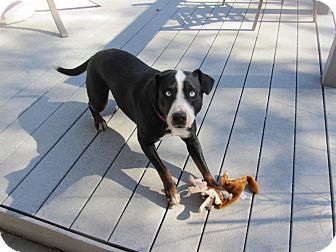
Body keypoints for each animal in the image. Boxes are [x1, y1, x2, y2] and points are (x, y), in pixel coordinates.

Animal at [56, 47, 230, 205]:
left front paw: (217, 188)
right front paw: (171, 192)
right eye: (167, 92)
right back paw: (99, 121)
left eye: (192, 93)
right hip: (99, 97)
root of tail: (98, 53)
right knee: (91, 105)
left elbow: (204, 167)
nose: (179, 117)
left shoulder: (192, 139)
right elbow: (162, 168)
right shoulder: (145, 141)